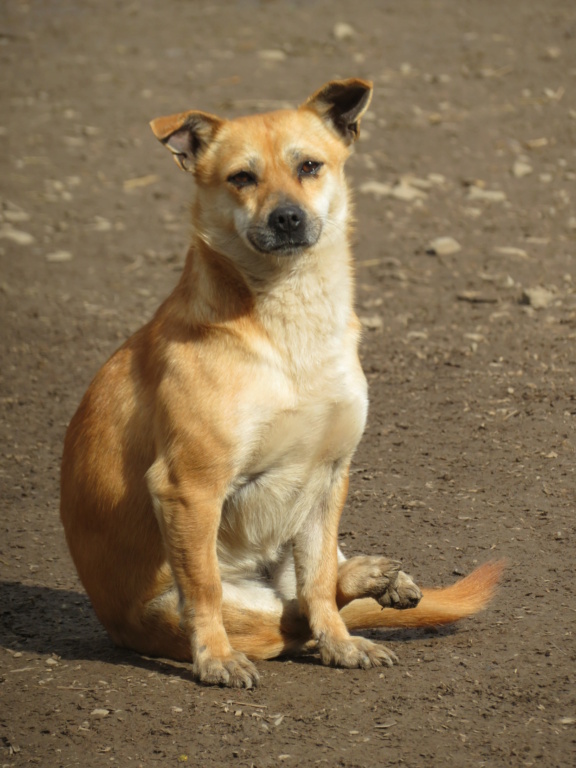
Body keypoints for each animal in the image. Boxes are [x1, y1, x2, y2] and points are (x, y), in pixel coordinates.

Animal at [59, 81, 504, 688]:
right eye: (241, 177)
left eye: (309, 166)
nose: (288, 218)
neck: (294, 322)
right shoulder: (188, 486)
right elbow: (207, 589)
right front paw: (216, 659)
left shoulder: (327, 475)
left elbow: (318, 584)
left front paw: (342, 646)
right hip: (203, 605)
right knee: (283, 620)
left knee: (316, 591)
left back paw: (374, 577)